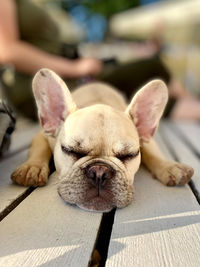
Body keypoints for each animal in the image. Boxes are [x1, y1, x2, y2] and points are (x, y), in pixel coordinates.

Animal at [11, 70, 194, 213]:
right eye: (69, 150)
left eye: (129, 155)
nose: (99, 172)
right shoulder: (42, 135)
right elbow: (39, 149)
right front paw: (32, 168)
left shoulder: (146, 140)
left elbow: (154, 154)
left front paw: (170, 167)